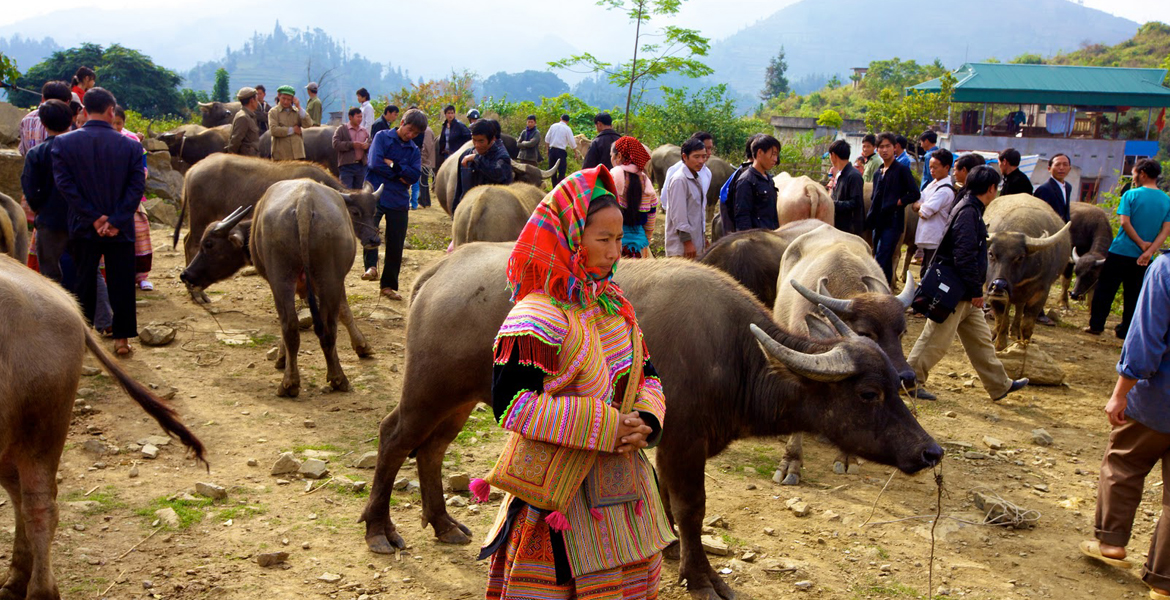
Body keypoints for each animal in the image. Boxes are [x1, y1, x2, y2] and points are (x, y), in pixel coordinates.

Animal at [0, 253, 205, 598]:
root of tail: (65, 301)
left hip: (40, 425)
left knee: (39, 506)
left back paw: (39, 590)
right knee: (19, 495)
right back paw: (15, 581)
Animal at [177, 182, 374, 397]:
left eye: (209, 244)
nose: (186, 274)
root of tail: (304, 204)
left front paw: (281, 358)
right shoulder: (332, 282)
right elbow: (343, 311)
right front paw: (362, 346)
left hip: (281, 278)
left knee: (289, 324)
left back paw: (289, 383)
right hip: (327, 277)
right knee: (323, 327)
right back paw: (337, 378)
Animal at [355, 240, 940, 598]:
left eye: (894, 386)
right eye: (868, 393)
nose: (930, 451)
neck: (737, 355)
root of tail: (438, 271)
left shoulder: (660, 437)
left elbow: (666, 503)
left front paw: (674, 549)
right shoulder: (682, 442)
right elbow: (690, 507)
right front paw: (700, 575)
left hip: (458, 400)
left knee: (431, 448)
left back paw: (442, 523)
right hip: (428, 389)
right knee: (394, 437)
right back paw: (380, 529)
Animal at [982, 194, 1071, 348]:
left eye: (1020, 257)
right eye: (991, 253)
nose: (999, 285)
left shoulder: (1041, 292)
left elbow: (1027, 324)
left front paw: (1024, 344)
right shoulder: (991, 290)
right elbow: (1002, 320)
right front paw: (1000, 344)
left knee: (1019, 308)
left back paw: (1015, 332)